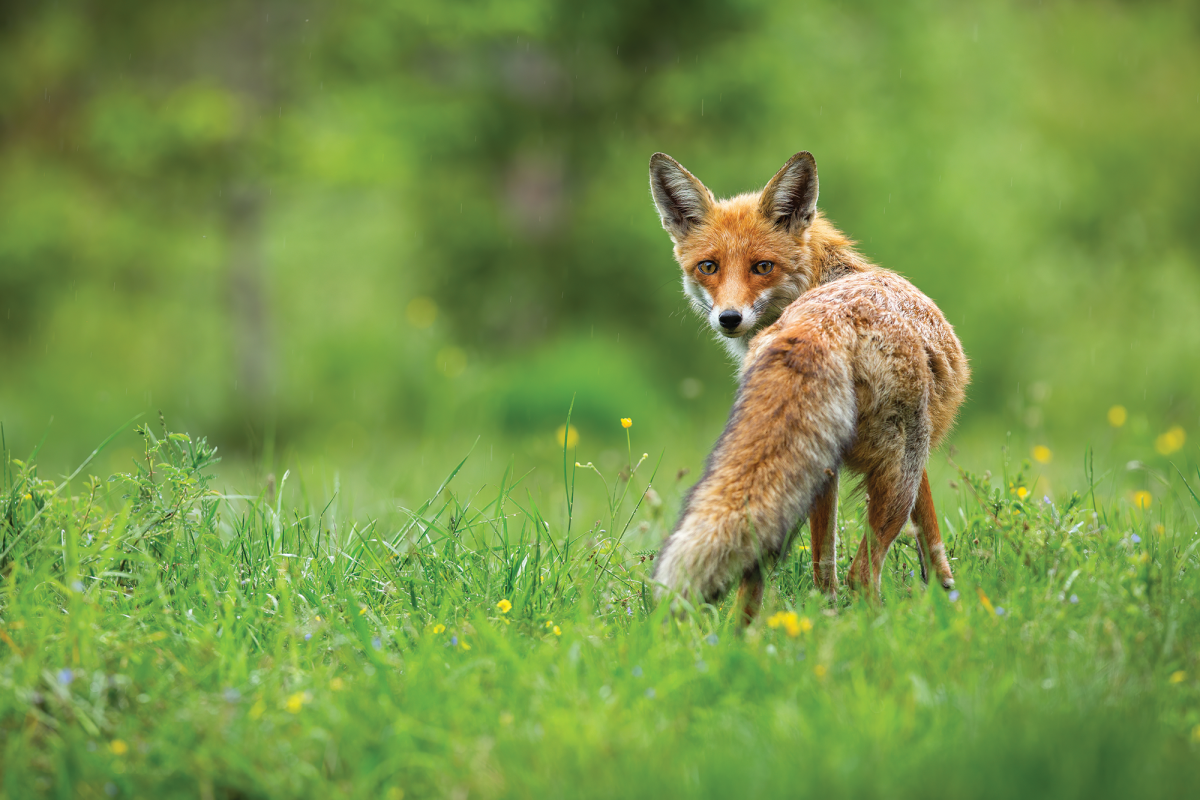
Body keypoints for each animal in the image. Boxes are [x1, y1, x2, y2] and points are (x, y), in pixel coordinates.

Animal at [647, 151, 969, 617]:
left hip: (807, 470)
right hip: (895, 470)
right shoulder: (918, 450)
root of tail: (822, 324)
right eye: (709, 267)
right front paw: (949, 597)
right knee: (860, 575)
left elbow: (839, 553)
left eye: (762, 267)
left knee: (768, 574)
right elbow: (932, 533)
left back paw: (750, 631)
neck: (821, 281)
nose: (729, 318)